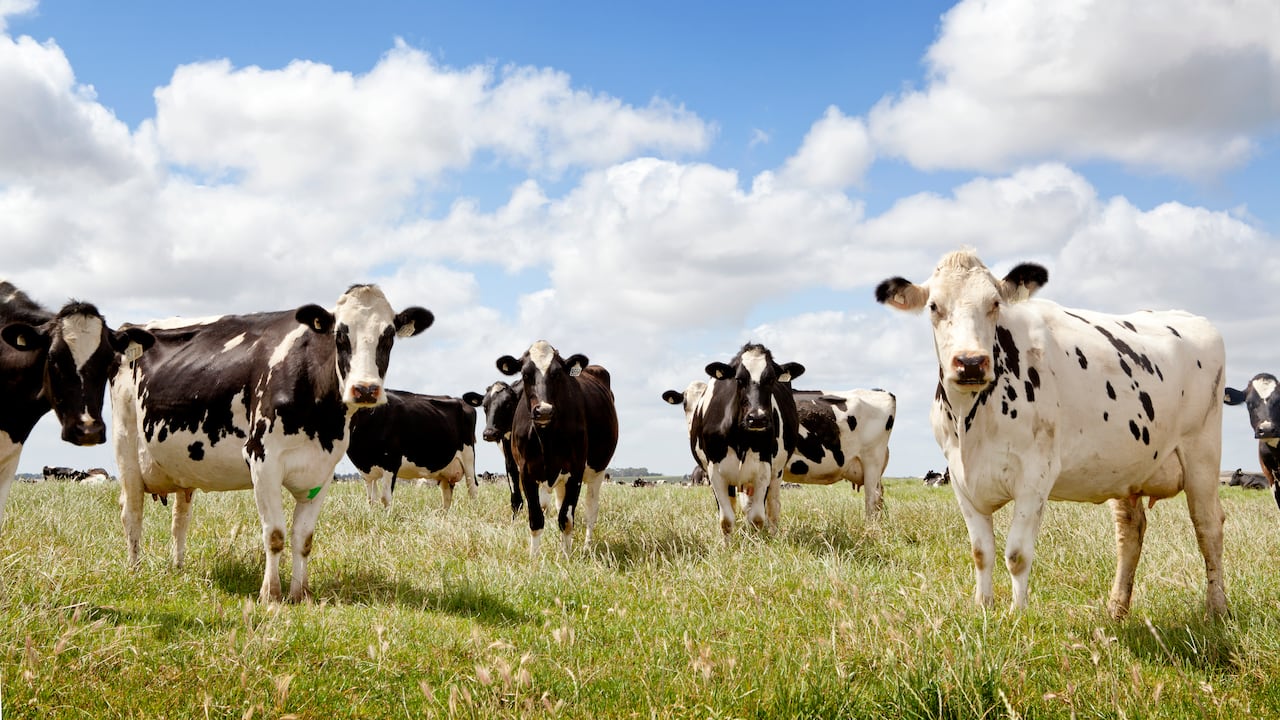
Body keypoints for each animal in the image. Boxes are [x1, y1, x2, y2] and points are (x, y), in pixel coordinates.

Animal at [111, 284, 432, 602]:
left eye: (387, 336)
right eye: (340, 335)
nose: (365, 389)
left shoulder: (323, 470)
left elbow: (304, 538)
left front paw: (300, 593)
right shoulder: (262, 459)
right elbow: (275, 534)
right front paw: (270, 594)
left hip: (181, 465)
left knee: (180, 518)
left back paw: (177, 567)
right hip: (125, 444)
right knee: (132, 513)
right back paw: (135, 570)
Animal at [346, 390, 478, 511]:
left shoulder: (391, 462)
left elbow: (385, 498)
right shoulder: (367, 471)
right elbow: (371, 500)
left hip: (469, 458)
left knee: (472, 488)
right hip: (445, 470)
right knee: (446, 495)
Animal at [495, 341, 618, 557]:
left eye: (557, 373)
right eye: (525, 374)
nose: (543, 410)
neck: (546, 438)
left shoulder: (576, 471)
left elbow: (566, 519)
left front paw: (566, 557)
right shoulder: (526, 473)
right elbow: (536, 518)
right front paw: (534, 559)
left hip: (598, 470)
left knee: (590, 509)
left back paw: (587, 546)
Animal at [674, 343, 803, 538]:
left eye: (771, 379)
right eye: (739, 379)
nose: (757, 418)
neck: (740, 439)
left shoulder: (763, 469)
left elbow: (757, 517)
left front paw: (756, 542)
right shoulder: (715, 472)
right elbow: (726, 519)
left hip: (776, 472)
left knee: (772, 507)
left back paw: (773, 534)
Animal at [876, 248, 1227, 618]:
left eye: (995, 303)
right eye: (934, 306)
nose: (970, 362)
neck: (970, 421)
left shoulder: (1035, 475)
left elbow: (1016, 555)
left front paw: (1017, 615)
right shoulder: (960, 478)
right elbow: (981, 552)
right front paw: (983, 608)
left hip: (1202, 454)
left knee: (1208, 526)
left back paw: (1216, 609)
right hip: (1127, 466)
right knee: (1131, 530)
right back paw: (1116, 609)